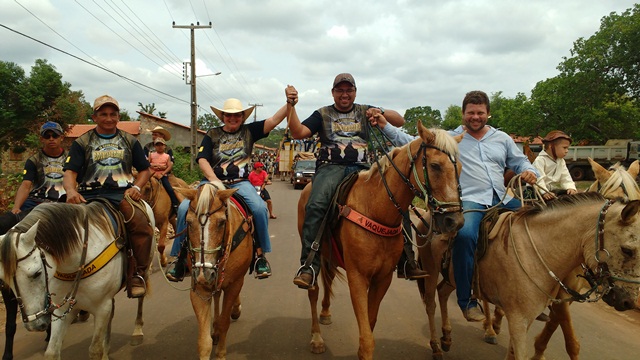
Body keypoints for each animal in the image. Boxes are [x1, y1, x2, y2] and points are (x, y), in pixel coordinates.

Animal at [0, 201, 154, 358]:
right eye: (5, 281)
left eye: (36, 273)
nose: (34, 325)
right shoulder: (63, 309)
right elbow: (51, 352)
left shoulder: (102, 306)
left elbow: (95, 350)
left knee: (140, 297)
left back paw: (137, 331)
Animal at [178, 184, 255, 360]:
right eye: (188, 222)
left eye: (221, 222)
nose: (203, 273)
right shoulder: (199, 288)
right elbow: (204, 341)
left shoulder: (234, 284)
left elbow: (225, 322)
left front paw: (220, 353)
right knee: (217, 294)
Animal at [296, 122, 464, 358]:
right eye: (435, 166)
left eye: (460, 168)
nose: (454, 221)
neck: (376, 208)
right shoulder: (357, 277)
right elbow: (367, 338)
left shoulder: (383, 278)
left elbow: (370, 322)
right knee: (313, 289)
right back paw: (316, 337)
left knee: (328, 279)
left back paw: (326, 313)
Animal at [528, 158, 640, 360]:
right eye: (612, 202)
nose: (628, 301)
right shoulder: (561, 292)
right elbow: (572, 341)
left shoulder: (569, 295)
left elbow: (555, 323)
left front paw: (539, 351)